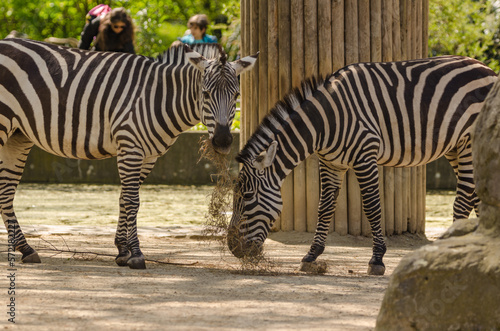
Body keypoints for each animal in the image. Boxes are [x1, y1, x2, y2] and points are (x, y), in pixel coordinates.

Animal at [0, 37, 258, 270]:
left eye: (236, 96)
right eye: (205, 94)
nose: (223, 141)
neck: (159, 97)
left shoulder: (148, 156)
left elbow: (124, 198)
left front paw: (122, 251)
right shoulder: (130, 146)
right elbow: (133, 200)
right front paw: (136, 254)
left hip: (18, 137)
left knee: (6, 192)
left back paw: (26, 249)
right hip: (4, 127)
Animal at [229, 56, 498, 274]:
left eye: (248, 196)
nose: (232, 248)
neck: (325, 123)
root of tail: (488, 70)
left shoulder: (365, 156)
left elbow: (372, 206)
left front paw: (377, 259)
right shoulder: (331, 163)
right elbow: (324, 207)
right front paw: (311, 255)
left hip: (468, 142)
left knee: (464, 199)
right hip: (455, 147)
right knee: (476, 197)